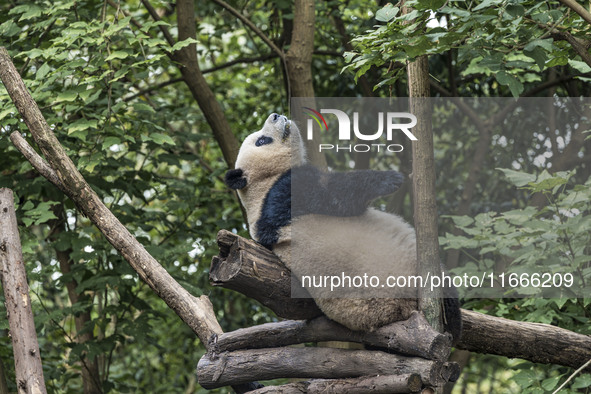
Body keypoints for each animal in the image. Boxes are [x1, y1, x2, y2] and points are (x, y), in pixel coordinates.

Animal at [224, 113, 460, 338]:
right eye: (262, 141)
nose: (274, 115)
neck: (261, 186)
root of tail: (402, 308)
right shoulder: (284, 192)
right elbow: (338, 195)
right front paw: (391, 179)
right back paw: (453, 321)